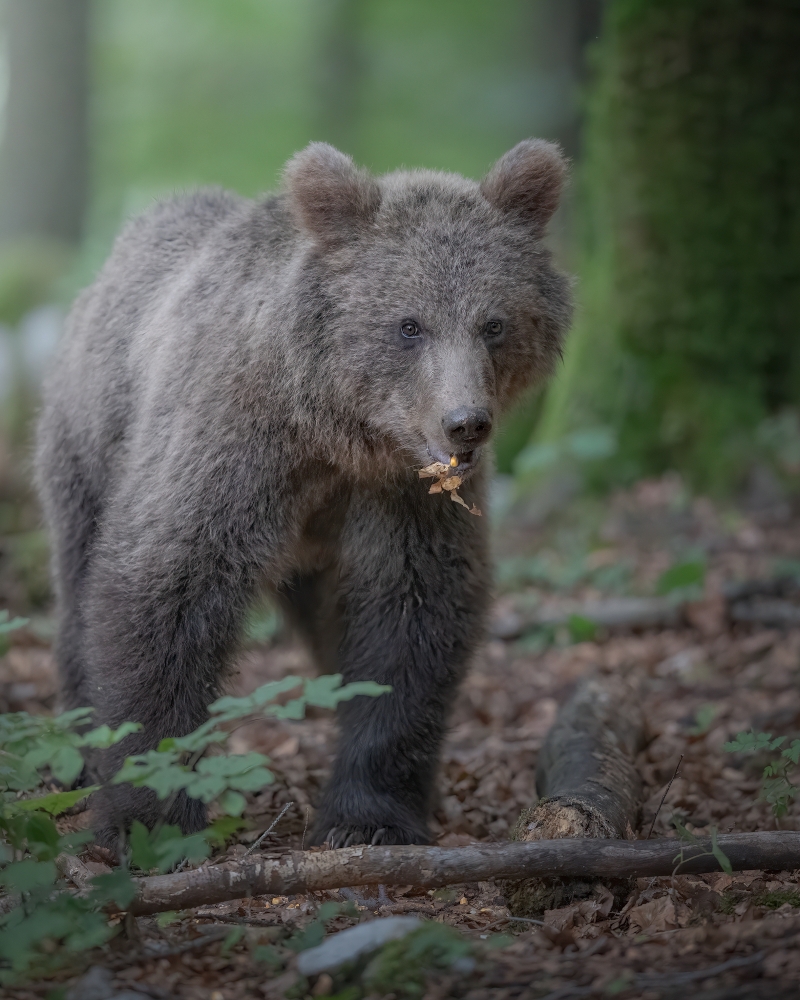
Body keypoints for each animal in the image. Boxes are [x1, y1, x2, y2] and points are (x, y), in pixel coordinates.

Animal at [35, 140, 572, 849]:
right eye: (409, 325)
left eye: (494, 323)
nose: (465, 422)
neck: (336, 434)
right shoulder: (233, 445)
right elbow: (166, 586)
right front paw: (149, 815)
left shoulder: (400, 494)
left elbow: (412, 617)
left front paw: (369, 815)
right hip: (86, 444)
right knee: (76, 587)